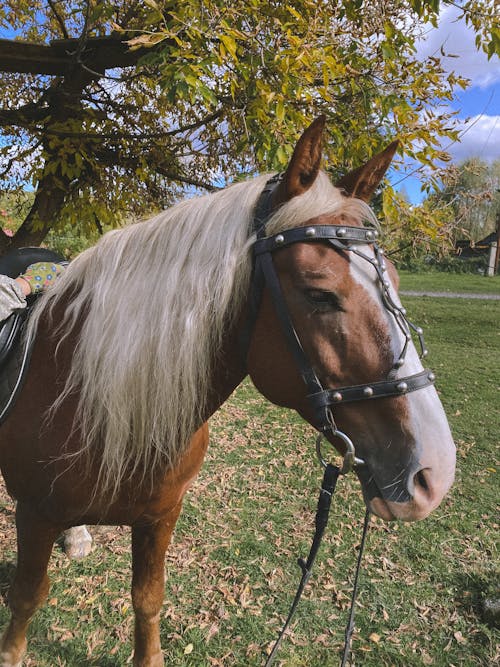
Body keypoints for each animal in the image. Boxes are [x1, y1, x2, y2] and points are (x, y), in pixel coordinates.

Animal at [0, 117, 456, 664]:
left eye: (395, 279)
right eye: (320, 293)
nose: (434, 473)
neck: (89, 398)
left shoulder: (160, 516)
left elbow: (147, 599)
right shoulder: (34, 515)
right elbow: (27, 597)